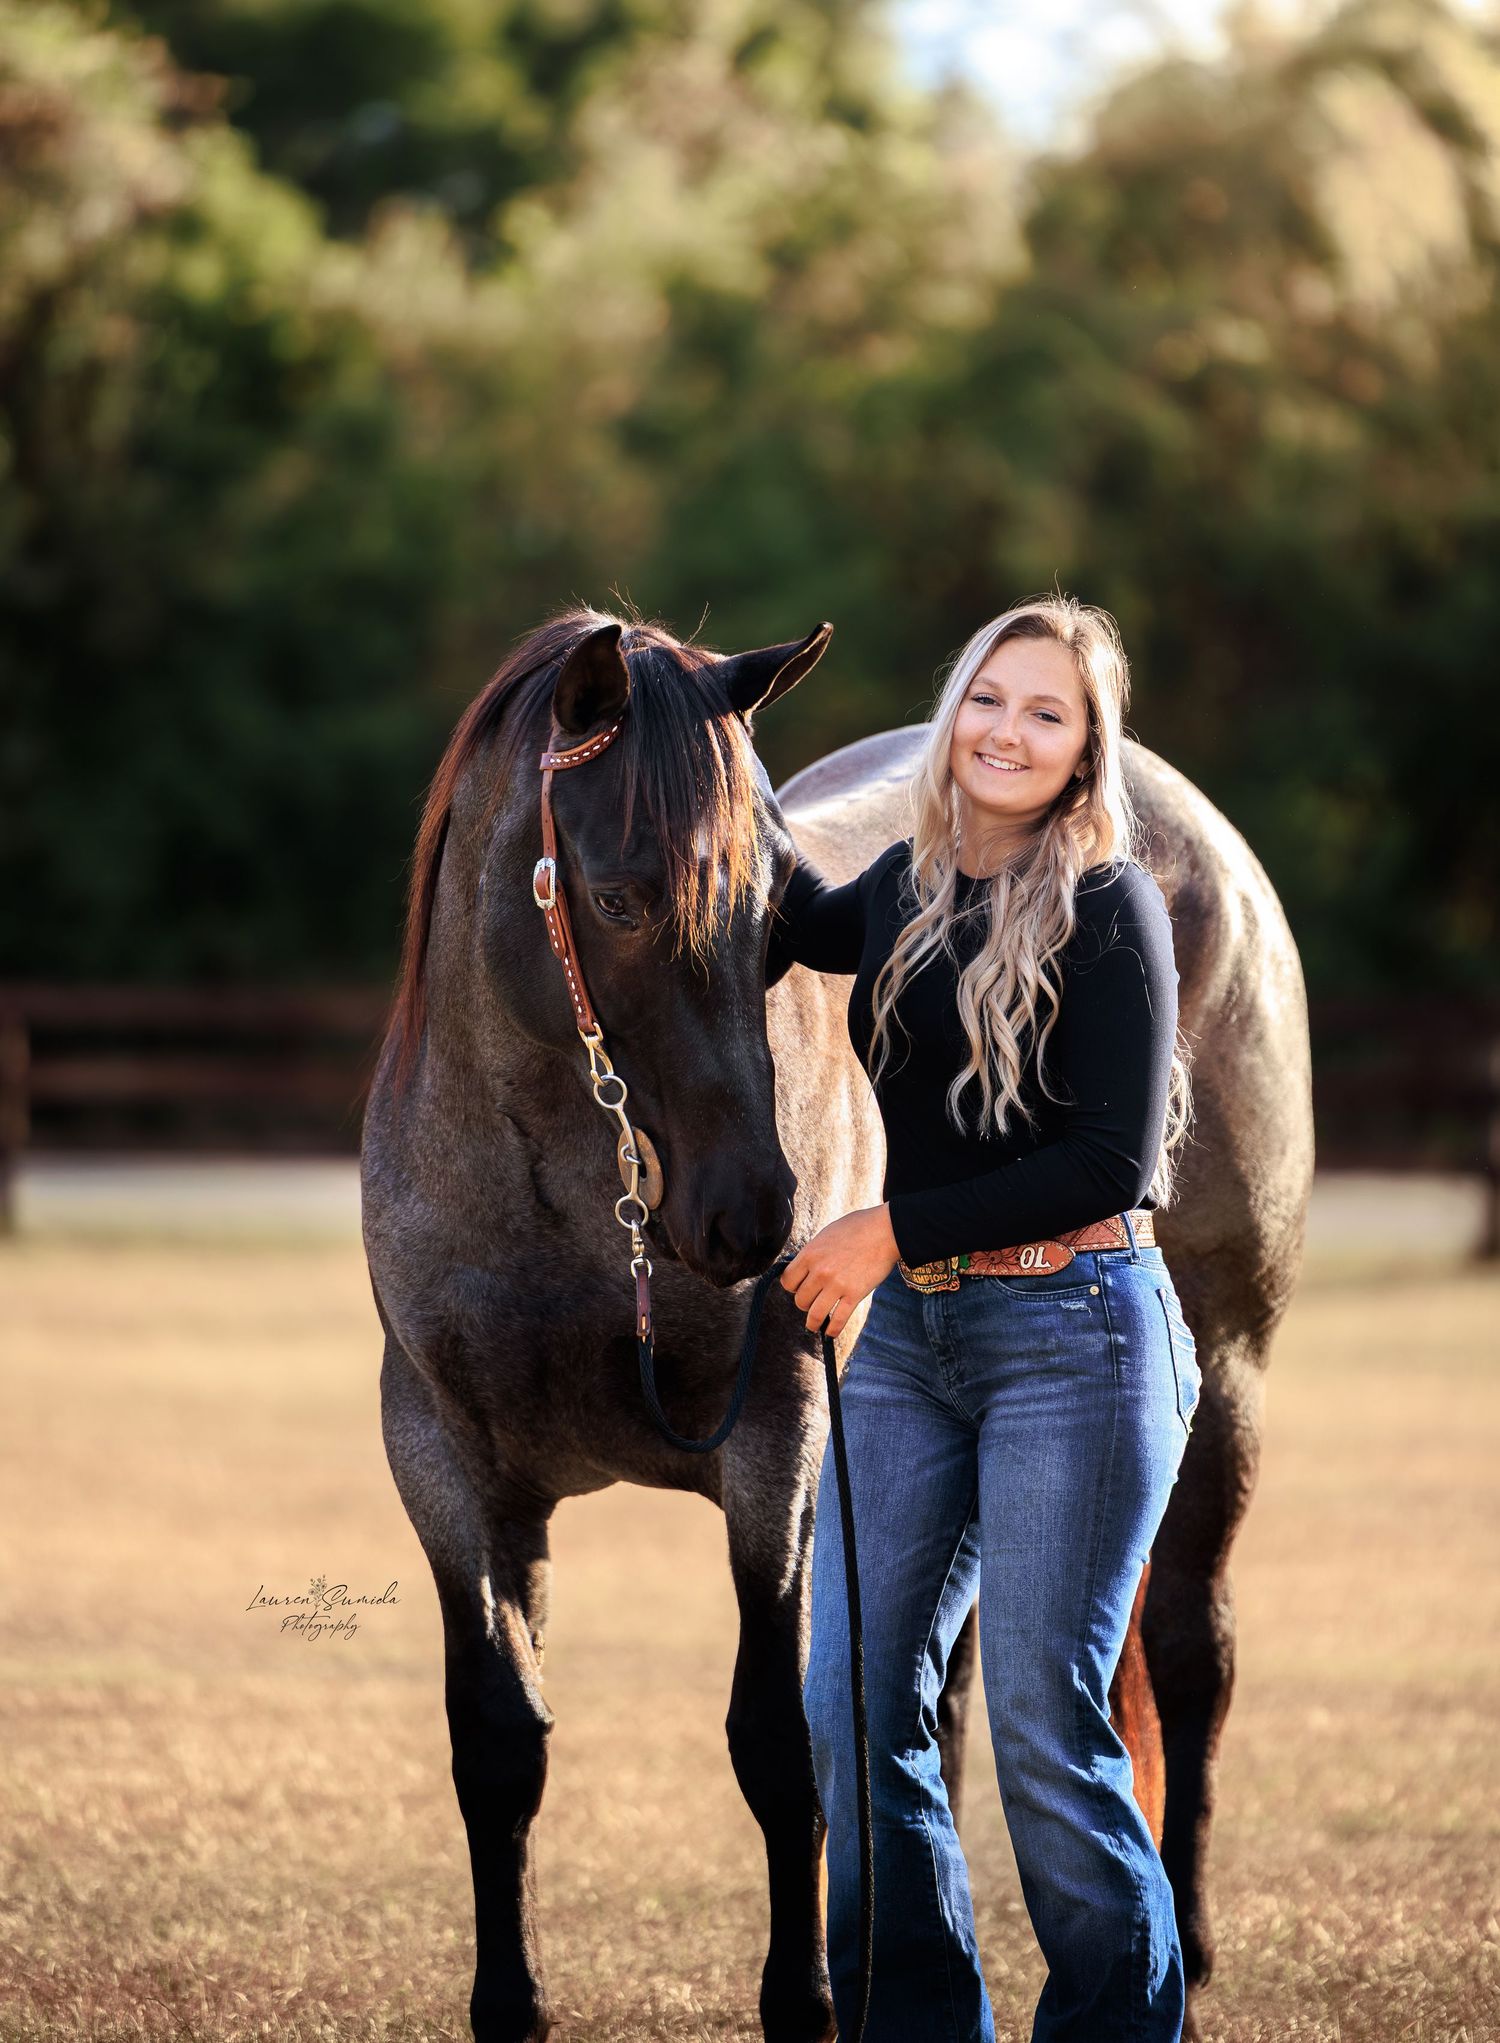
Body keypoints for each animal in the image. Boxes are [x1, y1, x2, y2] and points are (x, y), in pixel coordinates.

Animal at [360, 605, 1314, 2043]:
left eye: (773, 911)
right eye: (619, 897)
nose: (753, 1216)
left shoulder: (783, 1453)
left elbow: (779, 1738)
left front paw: (806, 2000)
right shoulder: (451, 1473)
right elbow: (501, 1744)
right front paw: (511, 2005)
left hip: (1231, 1378)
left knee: (1191, 1652)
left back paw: (1184, 1951)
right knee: (950, 1692)